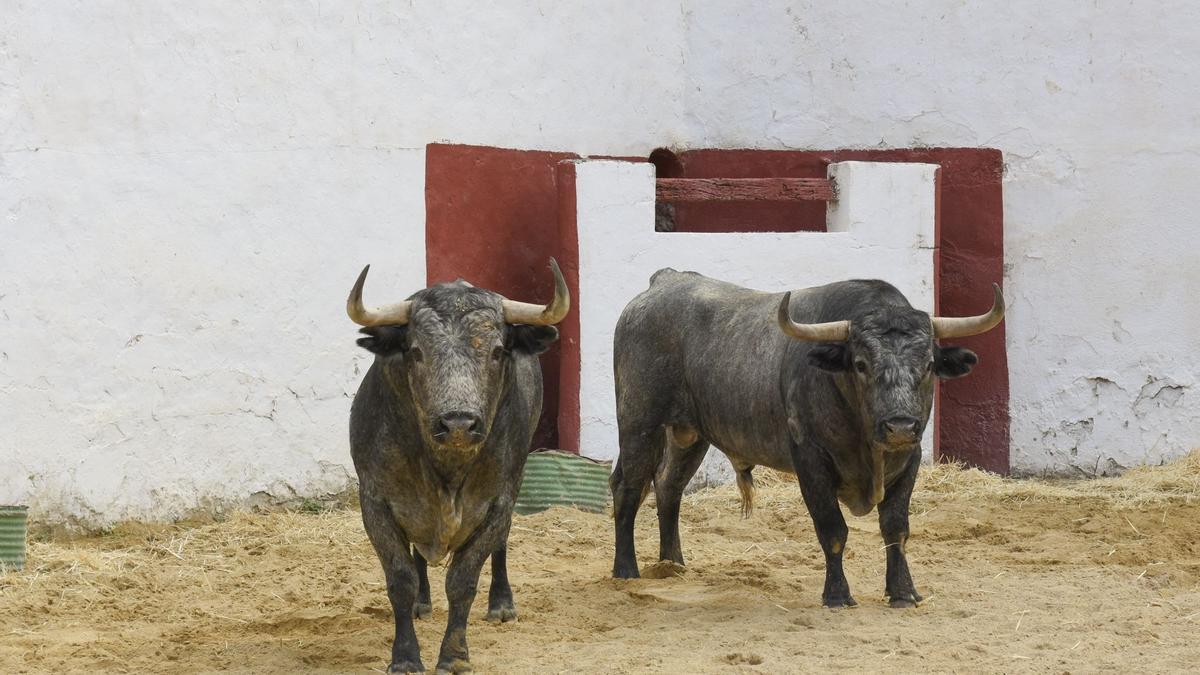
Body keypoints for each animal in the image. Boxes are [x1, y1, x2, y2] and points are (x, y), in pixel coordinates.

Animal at [348, 257, 571, 667]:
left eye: (497, 351)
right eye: (416, 351)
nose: (458, 423)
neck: (447, 469)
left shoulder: (498, 502)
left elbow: (463, 581)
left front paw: (453, 656)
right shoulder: (375, 503)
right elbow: (400, 579)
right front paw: (405, 657)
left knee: (502, 545)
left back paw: (502, 603)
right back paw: (422, 602)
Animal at [609, 270, 1003, 607]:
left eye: (928, 365)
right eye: (860, 364)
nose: (900, 426)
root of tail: (665, 280)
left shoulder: (910, 458)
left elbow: (896, 528)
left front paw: (903, 592)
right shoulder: (811, 460)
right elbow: (832, 529)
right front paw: (837, 595)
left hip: (689, 434)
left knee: (668, 485)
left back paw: (672, 564)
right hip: (638, 422)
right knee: (627, 488)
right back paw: (626, 569)